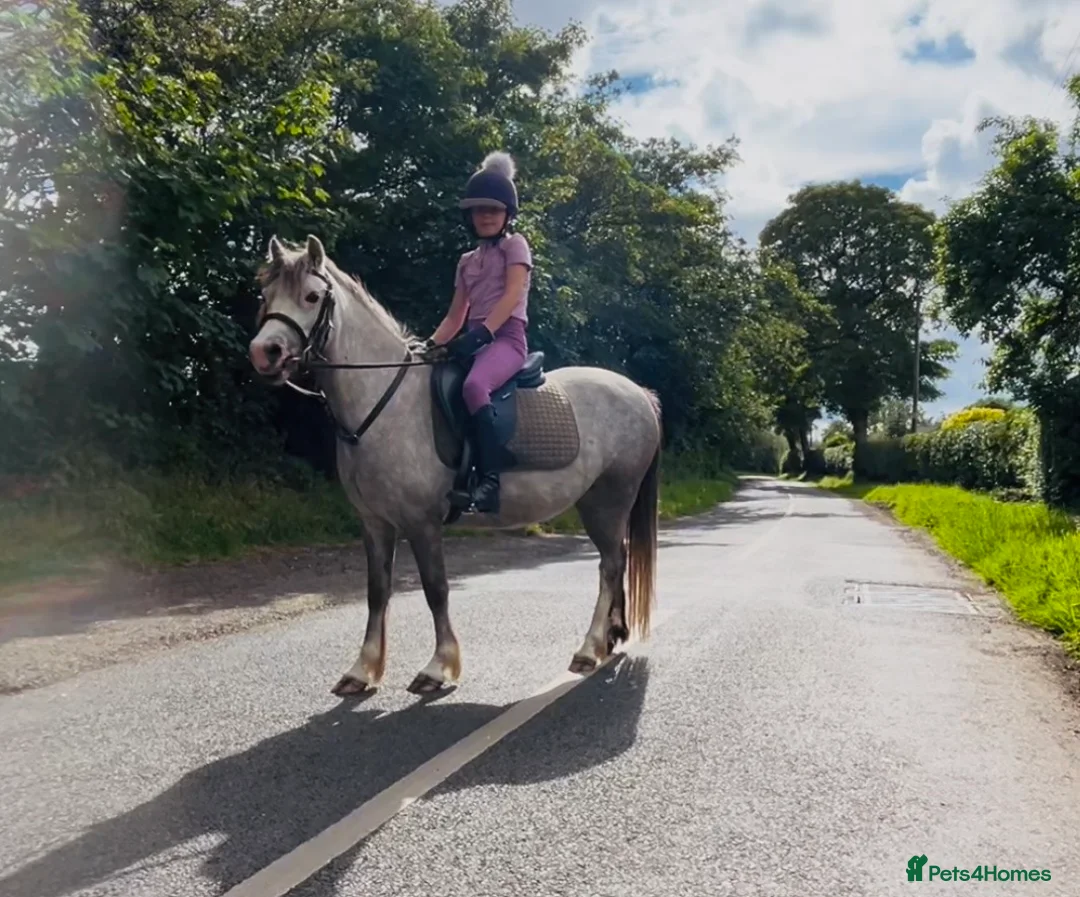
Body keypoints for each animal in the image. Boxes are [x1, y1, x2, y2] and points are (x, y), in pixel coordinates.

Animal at [248, 234, 662, 695]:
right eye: (265, 294)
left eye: (312, 296)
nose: (264, 352)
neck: (384, 401)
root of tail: (639, 393)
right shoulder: (374, 523)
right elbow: (377, 592)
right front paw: (362, 670)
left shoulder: (421, 522)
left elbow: (436, 589)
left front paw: (438, 667)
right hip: (598, 502)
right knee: (616, 560)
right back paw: (611, 637)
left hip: (610, 499)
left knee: (610, 565)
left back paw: (589, 649)